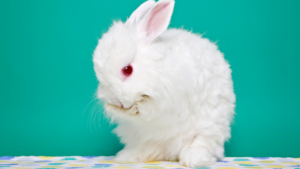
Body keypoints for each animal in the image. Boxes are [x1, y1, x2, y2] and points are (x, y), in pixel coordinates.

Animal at [92, 0, 236, 166]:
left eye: (127, 70)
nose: (115, 100)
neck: (152, 68)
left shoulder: (168, 99)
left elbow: (150, 109)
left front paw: (135, 108)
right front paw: (116, 108)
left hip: (207, 131)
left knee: (200, 147)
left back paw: (192, 160)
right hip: (141, 139)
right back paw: (127, 157)